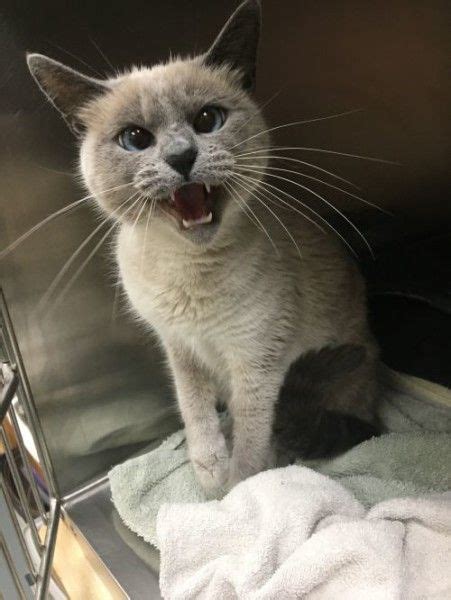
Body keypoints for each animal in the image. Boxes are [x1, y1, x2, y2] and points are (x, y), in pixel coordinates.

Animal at [27, 0, 382, 494]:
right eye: (135, 139)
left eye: (207, 120)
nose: (181, 156)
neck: (188, 269)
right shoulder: (179, 347)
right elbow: (195, 412)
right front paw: (209, 471)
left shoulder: (257, 362)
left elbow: (251, 443)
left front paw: (235, 490)